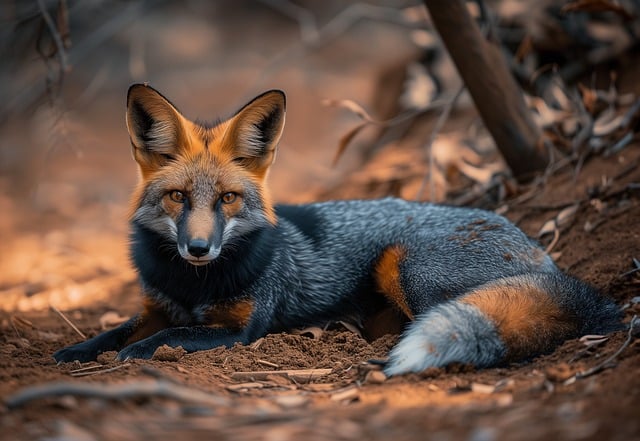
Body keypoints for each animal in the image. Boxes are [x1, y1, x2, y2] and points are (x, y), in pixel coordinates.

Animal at [52, 83, 624, 374]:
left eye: (228, 199)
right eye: (177, 197)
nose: (198, 248)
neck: (195, 286)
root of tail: (538, 248)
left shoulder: (243, 330)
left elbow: (170, 335)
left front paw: (134, 356)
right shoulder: (156, 305)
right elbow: (120, 328)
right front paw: (77, 352)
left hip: (406, 266)